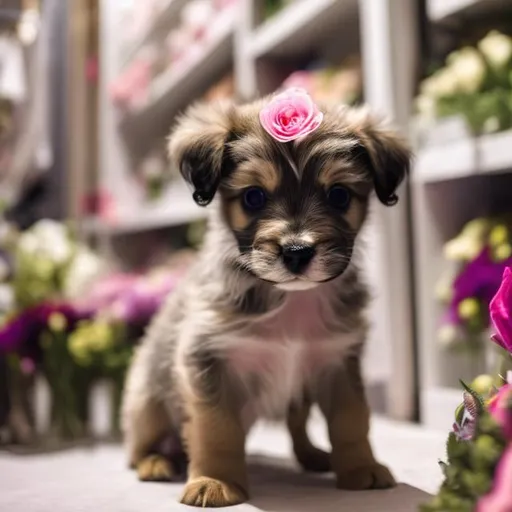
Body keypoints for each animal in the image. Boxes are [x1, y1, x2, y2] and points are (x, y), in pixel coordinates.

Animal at [121, 95, 412, 508]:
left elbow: (352, 419)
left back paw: (314, 457)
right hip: (147, 404)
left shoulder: (338, 362)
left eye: (339, 195)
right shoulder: (207, 360)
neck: (291, 297)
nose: (296, 252)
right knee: (139, 446)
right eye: (253, 197)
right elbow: (216, 427)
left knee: (297, 429)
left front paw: (360, 468)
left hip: (299, 395)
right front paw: (214, 479)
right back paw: (157, 462)